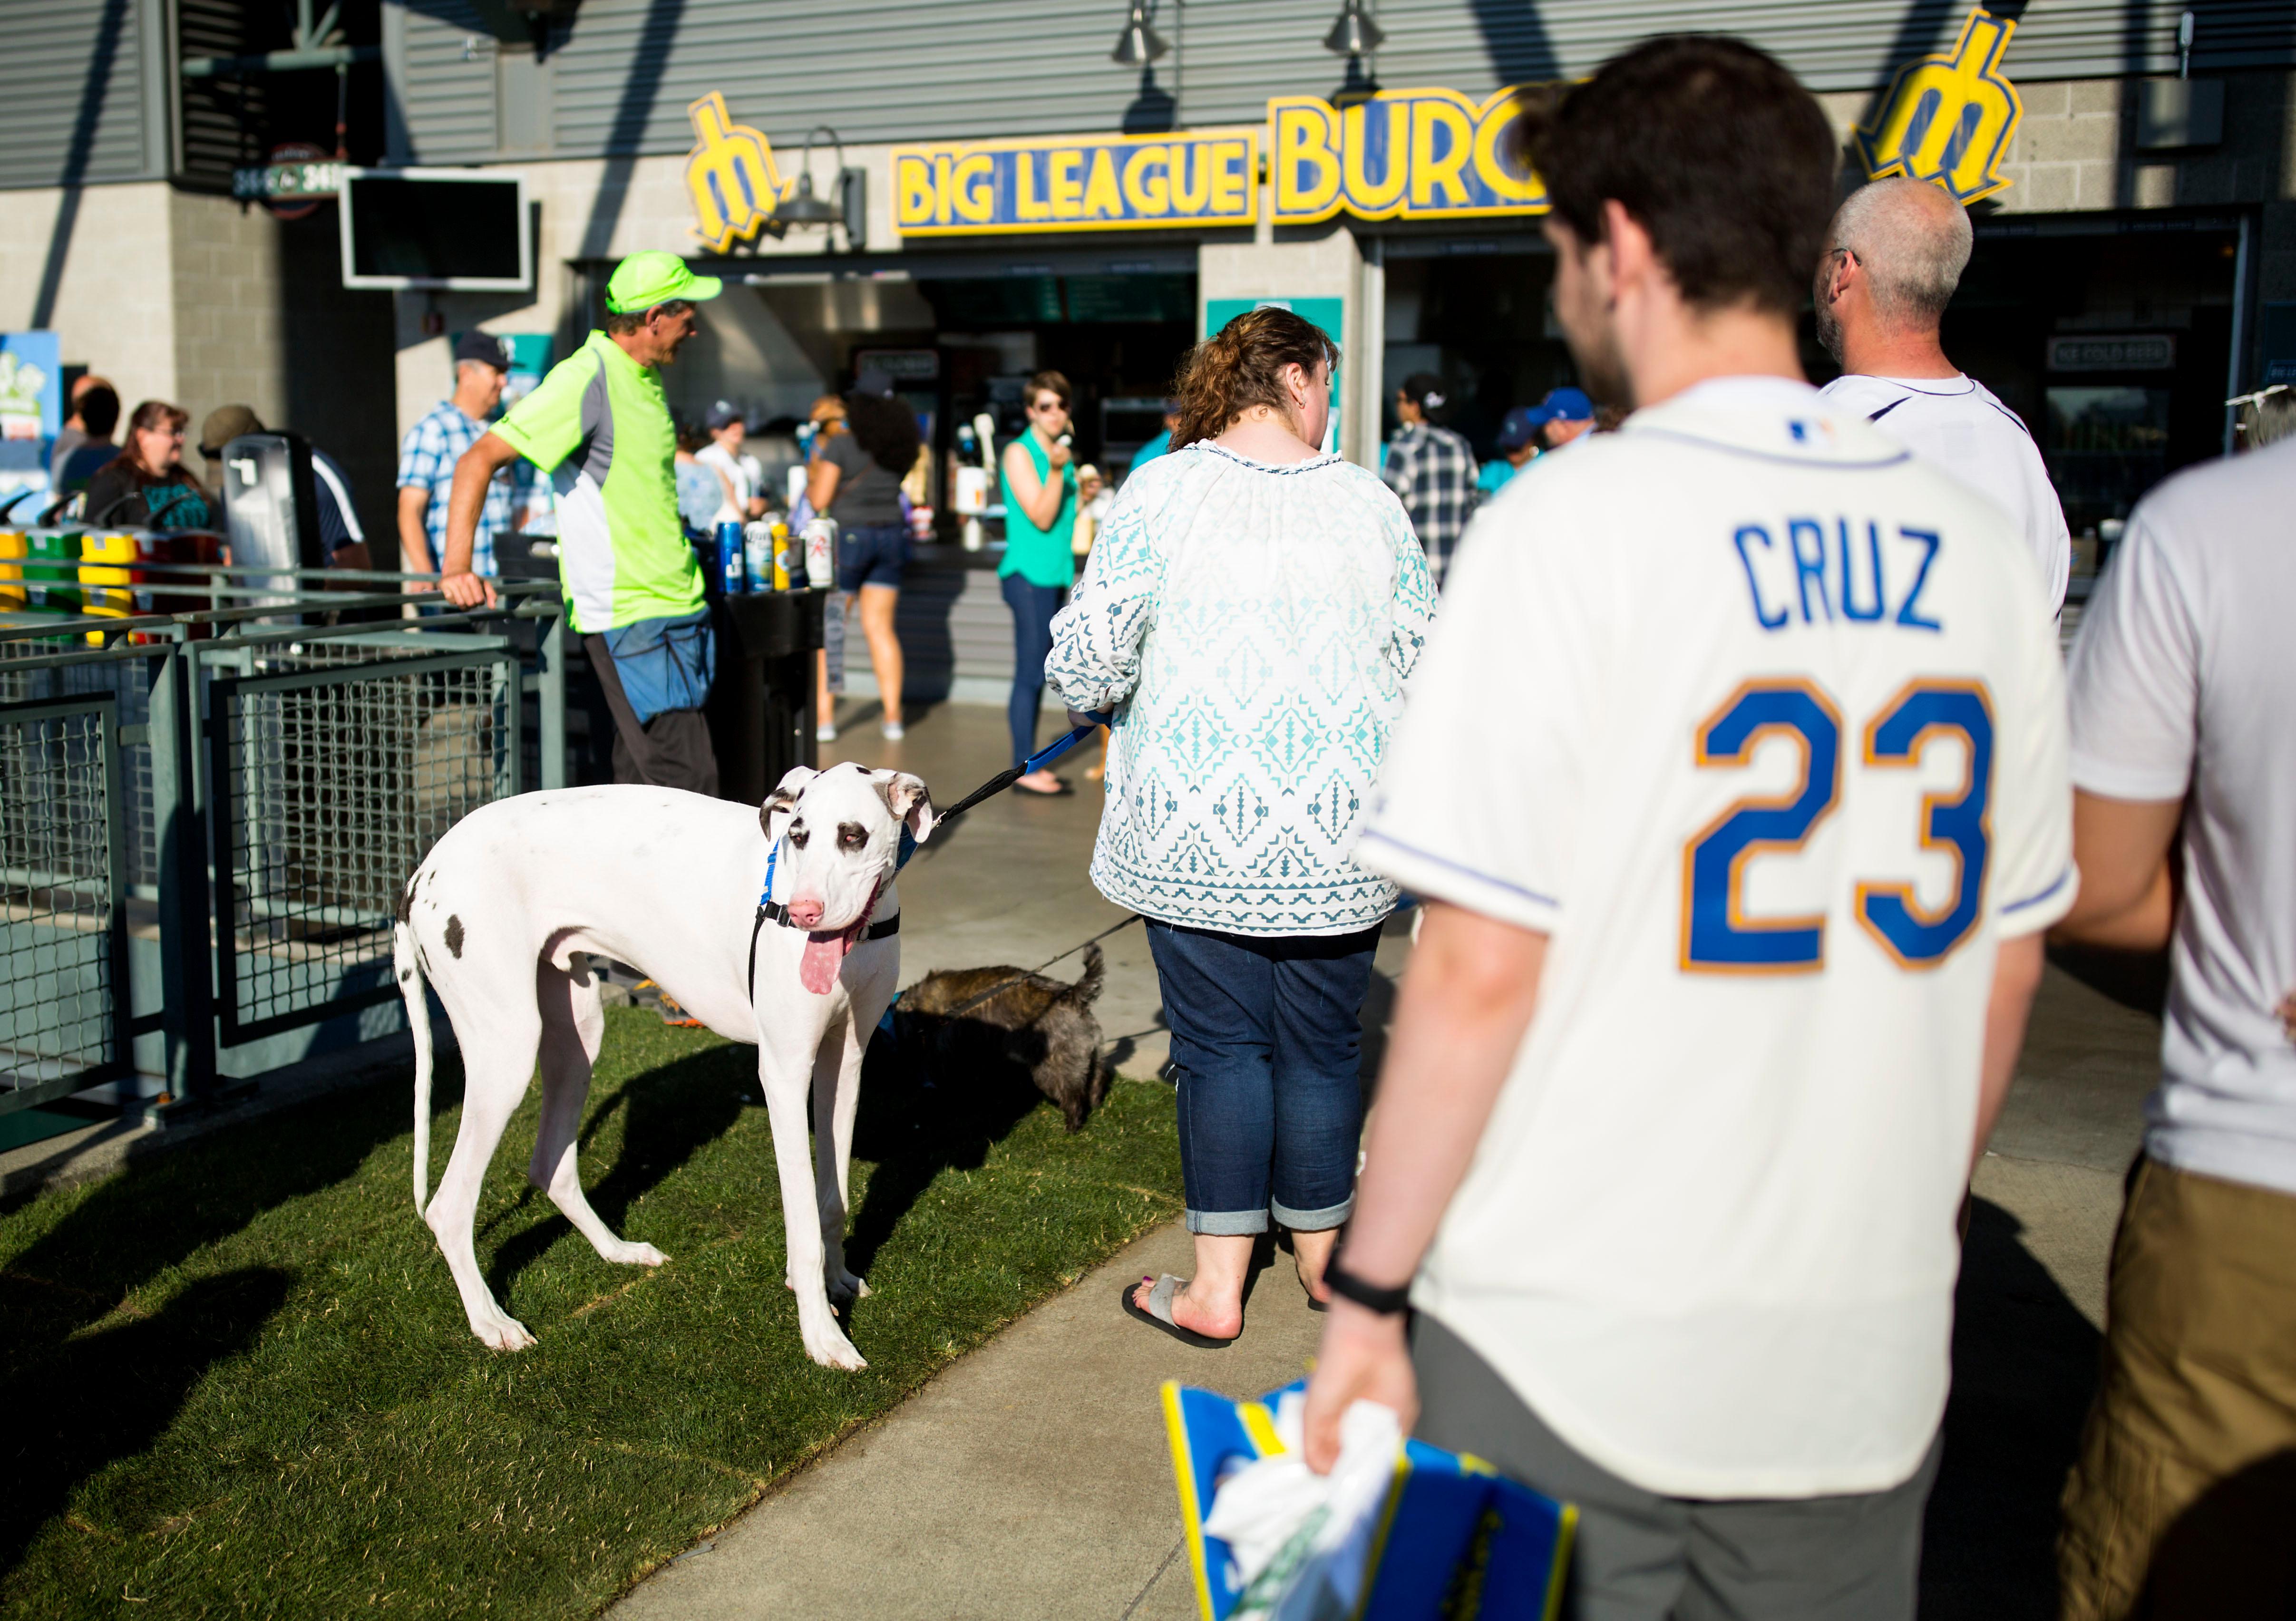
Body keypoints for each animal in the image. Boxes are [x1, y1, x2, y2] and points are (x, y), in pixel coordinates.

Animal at [395, 762, 932, 1368]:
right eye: (797, 836)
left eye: (852, 835)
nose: (802, 913)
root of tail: (422, 873)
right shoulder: (786, 1072)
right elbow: (802, 1224)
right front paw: (822, 1335)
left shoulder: (843, 1066)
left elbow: (831, 1199)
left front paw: (838, 1279)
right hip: (505, 1053)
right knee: (448, 1206)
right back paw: (491, 1322)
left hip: (577, 1036)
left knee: (551, 1165)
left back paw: (619, 1252)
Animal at [895, 941, 1111, 1129]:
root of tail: (1073, 997)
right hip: (1094, 1054)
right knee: (1096, 1081)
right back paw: (1096, 1105)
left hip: (1053, 1070)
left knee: (1073, 1098)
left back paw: (1072, 1127)